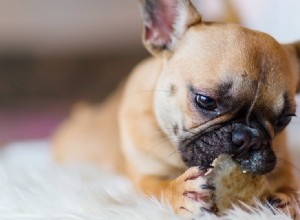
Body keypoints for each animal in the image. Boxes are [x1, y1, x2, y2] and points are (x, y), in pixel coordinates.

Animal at [52, 0, 300, 217]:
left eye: (285, 119)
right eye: (205, 100)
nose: (249, 138)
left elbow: (290, 181)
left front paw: (291, 198)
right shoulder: (143, 176)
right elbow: (156, 187)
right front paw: (180, 192)